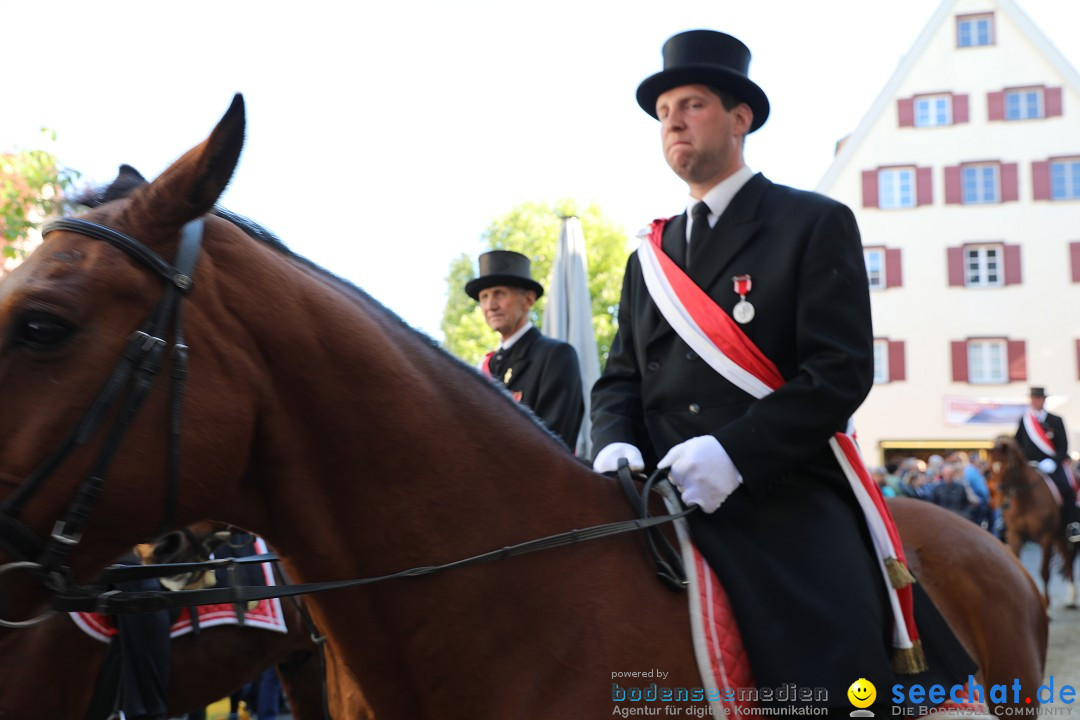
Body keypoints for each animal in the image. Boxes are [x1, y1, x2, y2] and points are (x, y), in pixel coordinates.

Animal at [989, 436, 1075, 604]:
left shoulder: (1045, 538)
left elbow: (1044, 572)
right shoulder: (1015, 536)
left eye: (1009, 467)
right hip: (1058, 537)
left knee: (1069, 560)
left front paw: (1046, 605)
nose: (1002, 503)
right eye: (990, 469)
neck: (1025, 501)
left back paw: (1072, 597)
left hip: (1062, 536)